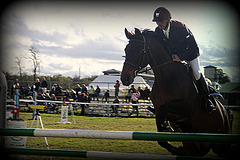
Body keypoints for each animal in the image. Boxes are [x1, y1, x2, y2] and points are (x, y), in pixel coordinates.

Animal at [121, 28, 233, 157]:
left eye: (138, 51)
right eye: (126, 50)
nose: (125, 78)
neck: (166, 77)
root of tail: (225, 112)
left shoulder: (186, 108)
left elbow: (163, 110)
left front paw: (167, 128)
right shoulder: (160, 109)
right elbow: (161, 137)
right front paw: (172, 139)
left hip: (221, 144)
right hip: (195, 145)